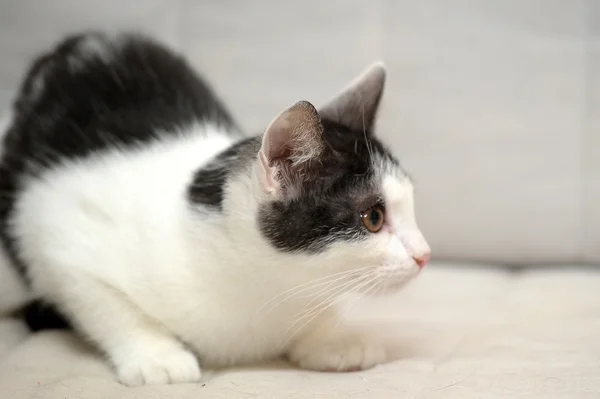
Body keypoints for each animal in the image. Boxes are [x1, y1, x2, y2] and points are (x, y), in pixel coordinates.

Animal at [0, 32, 432, 388]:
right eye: (373, 218)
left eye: (409, 207)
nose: (425, 254)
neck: (266, 285)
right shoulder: (56, 230)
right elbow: (105, 303)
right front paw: (156, 356)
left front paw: (330, 338)